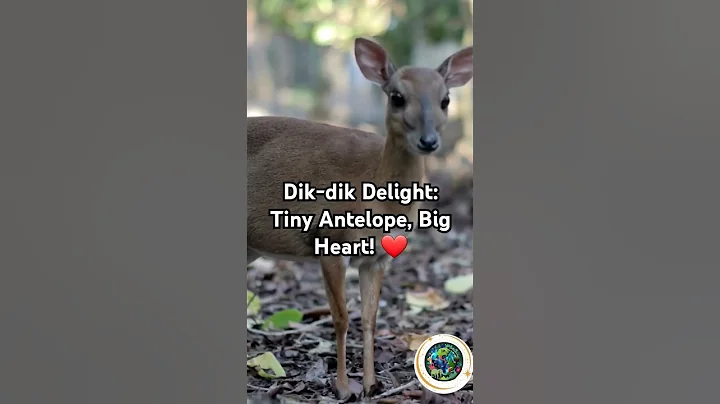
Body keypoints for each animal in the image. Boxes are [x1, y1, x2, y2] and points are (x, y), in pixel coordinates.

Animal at [247, 37, 473, 399]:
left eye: (445, 99)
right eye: (397, 97)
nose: (428, 141)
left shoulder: (378, 257)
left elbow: (370, 318)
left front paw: (370, 384)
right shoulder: (329, 240)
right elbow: (341, 317)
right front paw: (342, 387)